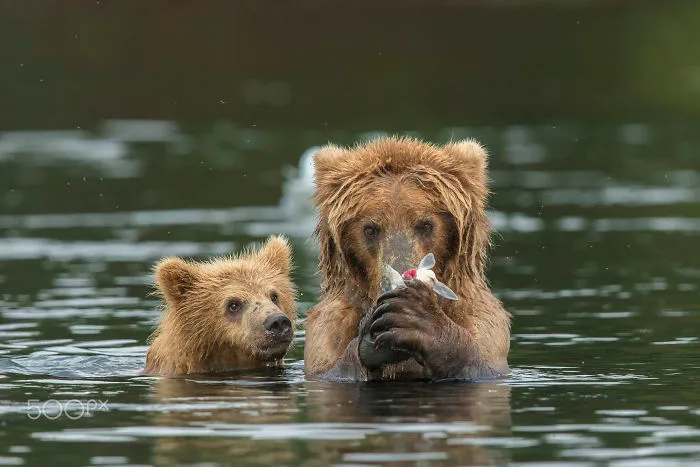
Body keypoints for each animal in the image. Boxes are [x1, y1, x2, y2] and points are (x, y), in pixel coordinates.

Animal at [304, 136, 511, 381]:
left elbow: (481, 366)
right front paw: (369, 339)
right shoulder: (326, 333)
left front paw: (415, 317)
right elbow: (333, 370)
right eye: (370, 229)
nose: (399, 279)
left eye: (426, 224)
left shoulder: (484, 324)